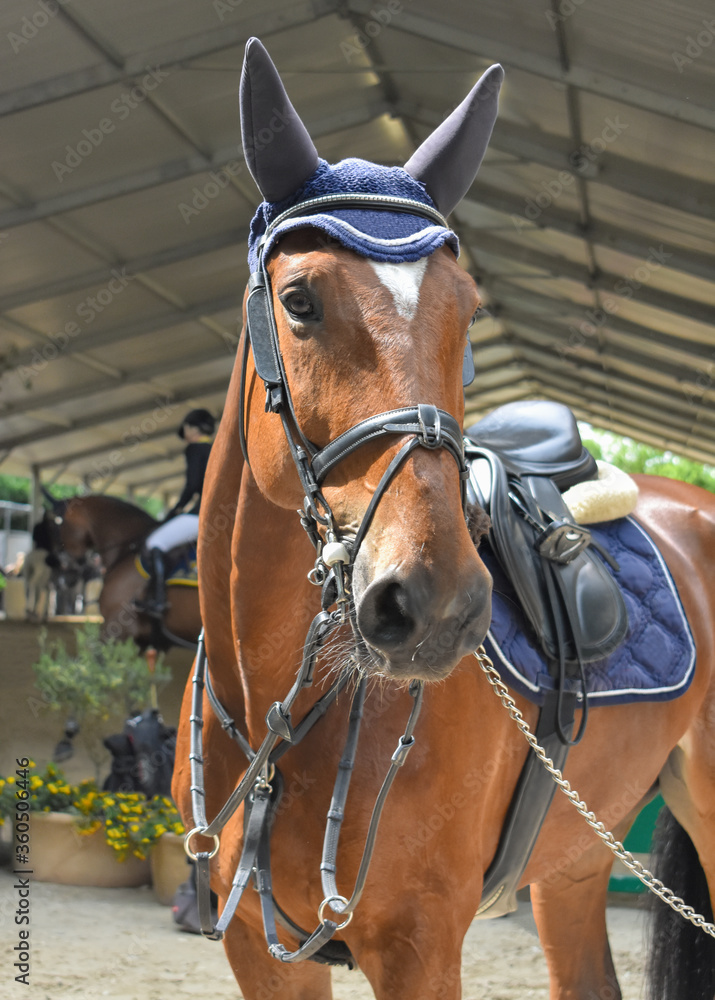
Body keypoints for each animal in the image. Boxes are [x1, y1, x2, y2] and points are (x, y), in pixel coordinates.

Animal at [172, 38, 715, 1000]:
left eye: (466, 307)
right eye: (300, 300)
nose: (435, 605)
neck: (278, 707)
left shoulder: (420, 947)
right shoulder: (259, 952)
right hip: (576, 863)